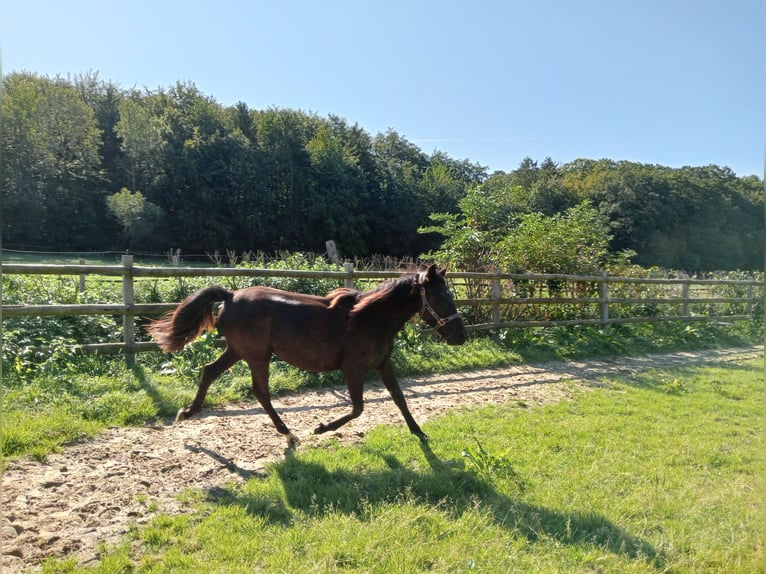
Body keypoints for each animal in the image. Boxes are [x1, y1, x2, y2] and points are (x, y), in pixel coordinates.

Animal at [145, 266, 468, 446]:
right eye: (439, 297)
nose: (460, 336)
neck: (369, 317)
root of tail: (230, 296)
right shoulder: (353, 369)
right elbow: (358, 409)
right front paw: (322, 427)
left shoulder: (382, 364)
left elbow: (400, 399)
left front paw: (420, 434)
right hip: (257, 356)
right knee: (259, 391)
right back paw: (289, 434)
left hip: (238, 351)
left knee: (209, 371)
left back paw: (188, 412)